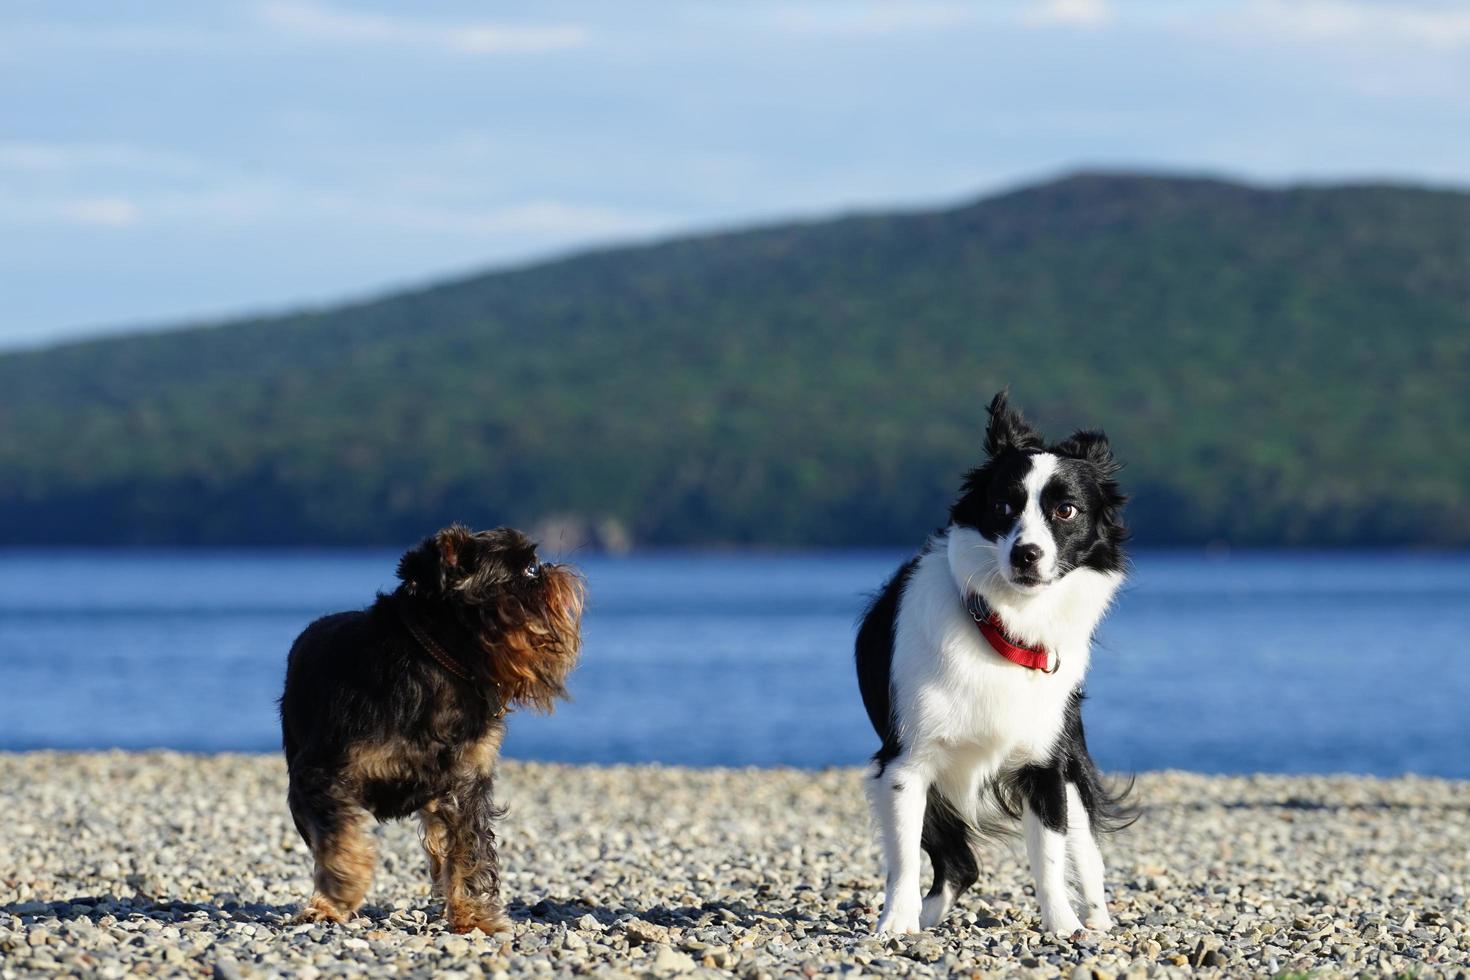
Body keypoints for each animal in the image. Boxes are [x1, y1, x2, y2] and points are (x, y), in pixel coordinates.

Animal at [858, 393, 1128, 940]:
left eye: (1066, 510)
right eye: (1003, 507)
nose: (1026, 555)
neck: (1004, 628)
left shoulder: (1045, 768)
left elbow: (1049, 857)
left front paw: (1063, 926)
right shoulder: (903, 763)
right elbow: (904, 859)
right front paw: (896, 925)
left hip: (1072, 765)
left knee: (1085, 852)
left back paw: (1097, 920)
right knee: (958, 864)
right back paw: (926, 916)